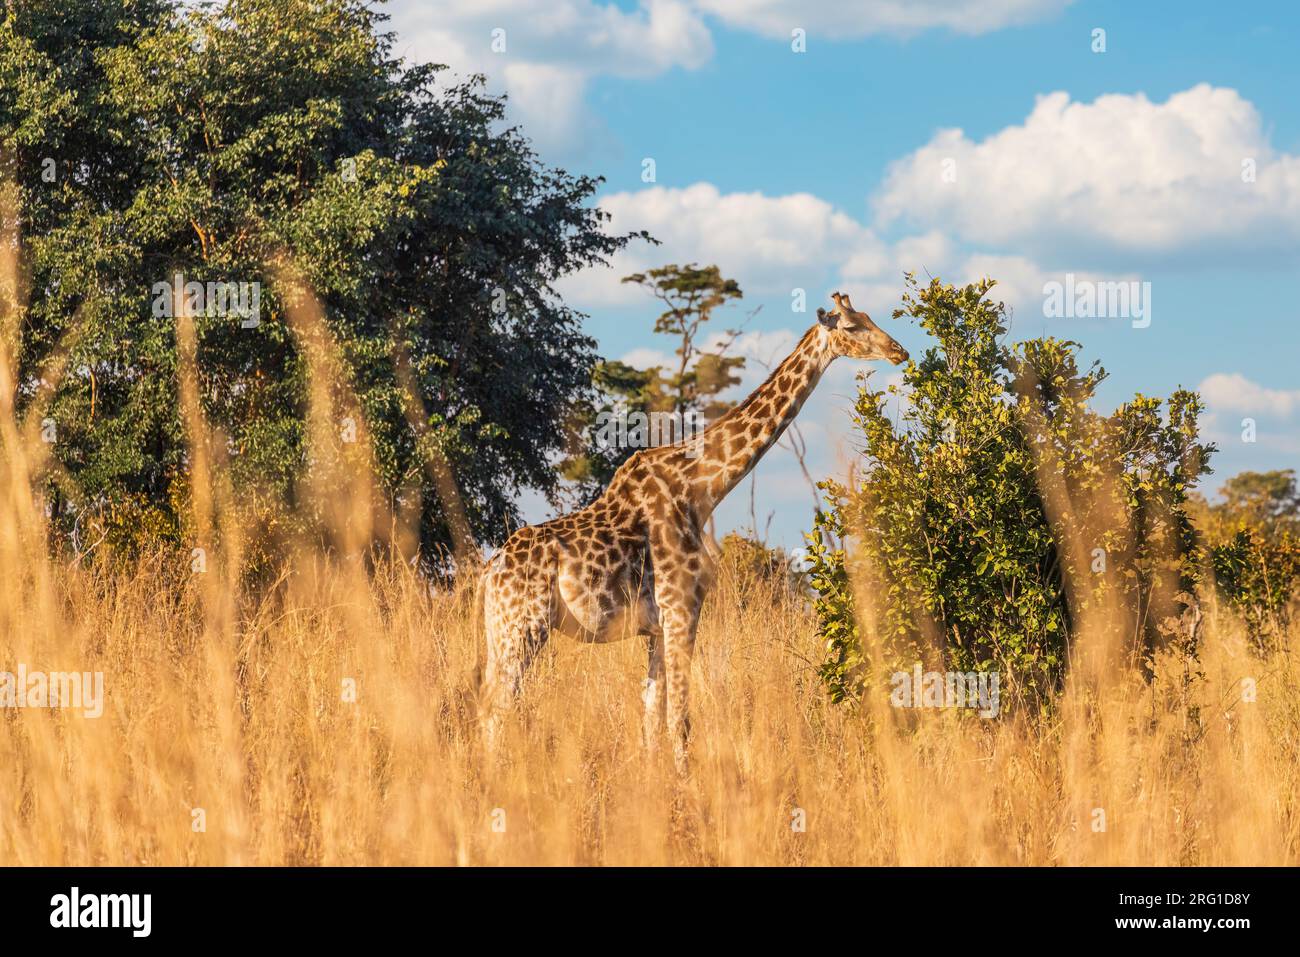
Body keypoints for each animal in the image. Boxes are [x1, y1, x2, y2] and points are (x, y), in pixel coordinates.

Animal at [479, 291, 909, 771]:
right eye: (851, 327)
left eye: (869, 316)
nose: (899, 351)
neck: (701, 487)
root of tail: (490, 572)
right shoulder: (683, 609)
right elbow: (679, 722)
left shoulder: (657, 627)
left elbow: (652, 720)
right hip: (524, 627)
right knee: (497, 707)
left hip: (500, 630)